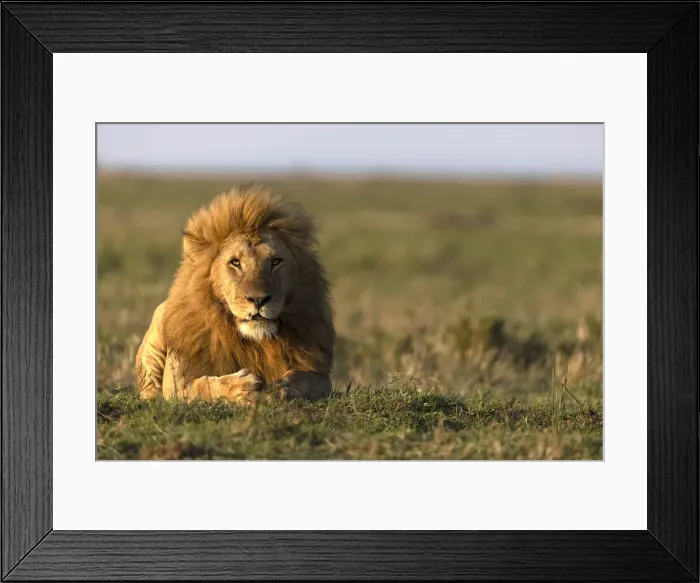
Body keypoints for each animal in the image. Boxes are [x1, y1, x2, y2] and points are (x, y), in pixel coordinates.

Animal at [134, 184, 335, 404]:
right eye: (235, 262)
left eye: (276, 262)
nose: (259, 299)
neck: (254, 343)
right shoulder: (177, 381)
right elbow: (201, 386)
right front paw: (242, 387)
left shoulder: (322, 377)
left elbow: (302, 376)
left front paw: (281, 388)